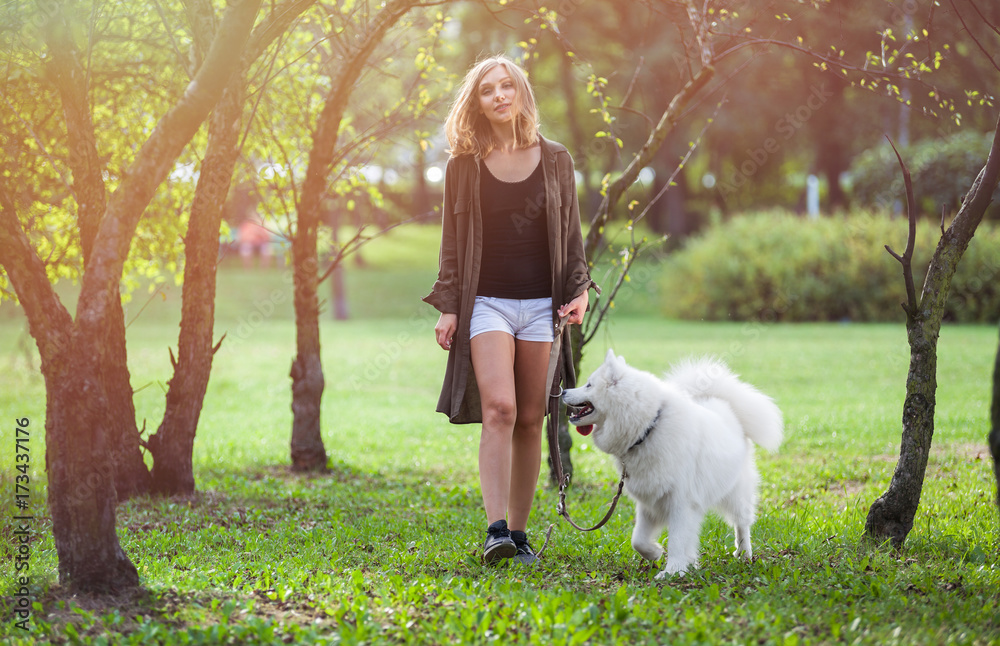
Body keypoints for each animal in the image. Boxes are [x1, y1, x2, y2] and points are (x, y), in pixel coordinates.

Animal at [564, 352, 780, 580]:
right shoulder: (649, 501)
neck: (648, 428)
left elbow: (677, 540)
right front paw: (655, 553)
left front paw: (673, 571)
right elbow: (638, 539)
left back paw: (744, 553)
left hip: (736, 494)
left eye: (588, 385)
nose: (563, 391)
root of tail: (725, 406)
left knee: (742, 524)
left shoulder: (681, 503)